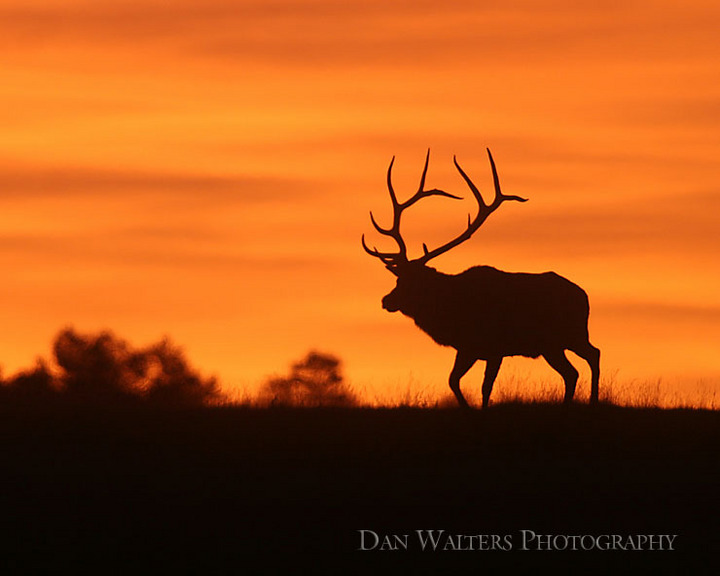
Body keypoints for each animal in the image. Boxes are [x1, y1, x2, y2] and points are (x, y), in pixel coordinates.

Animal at [362, 149, 600, 408]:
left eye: (411, 282)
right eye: (398, 279)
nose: (386, 301)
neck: (449, 312)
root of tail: (584, 296)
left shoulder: (494, 348)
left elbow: (485, 387)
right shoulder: (467, 348)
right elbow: (453, 380)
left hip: (567, 336)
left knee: (589, 358)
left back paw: (592, 401)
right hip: (555, 344)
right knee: (575, 369)